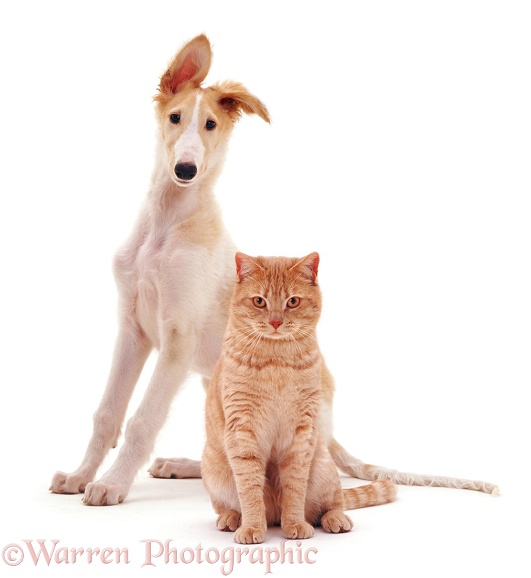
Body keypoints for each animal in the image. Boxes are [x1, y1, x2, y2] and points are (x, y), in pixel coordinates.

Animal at [202, 251, 396, 540]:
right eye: (259, 301)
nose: (275, 321)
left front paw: (294, 523)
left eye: (292, 301)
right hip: (213, 470)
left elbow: (295, 488)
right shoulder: (243, 431)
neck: (276, 361)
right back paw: (232, 518)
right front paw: (252, 527)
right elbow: (249, 490)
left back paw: (335, 519)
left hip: (323, 467)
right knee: (229, 505)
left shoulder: (301, 434)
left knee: (333, 503)